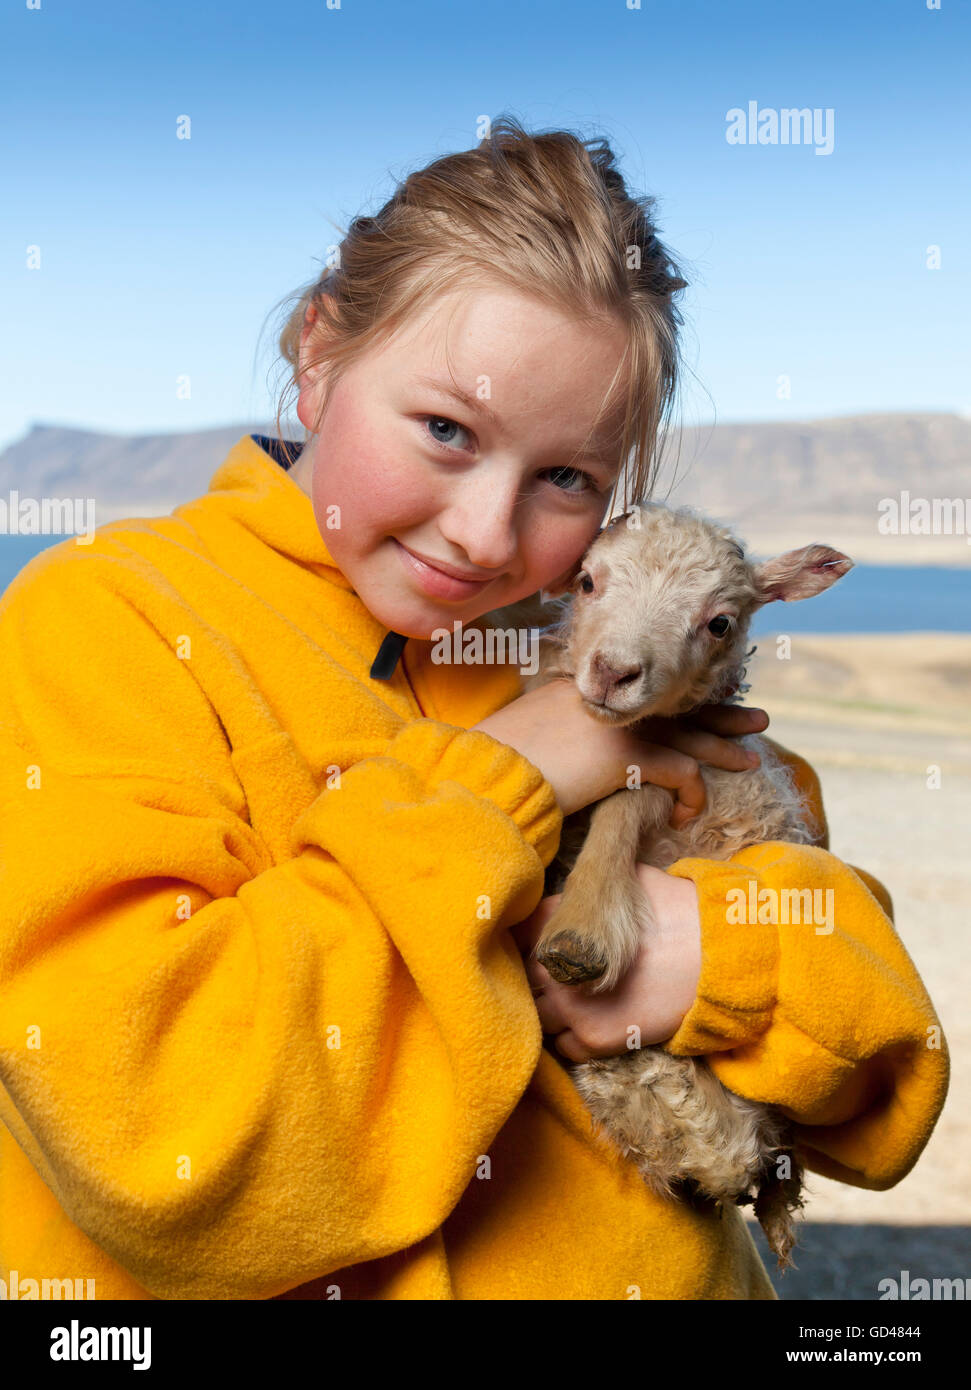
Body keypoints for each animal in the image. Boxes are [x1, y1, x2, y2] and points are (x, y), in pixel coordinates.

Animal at [519, 503, 855, 1273]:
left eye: (720, 623)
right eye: (586, 581)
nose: (613, 672)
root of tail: (725, 1156)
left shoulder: (681, 773)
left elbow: (624, 803)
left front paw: (581, 936)